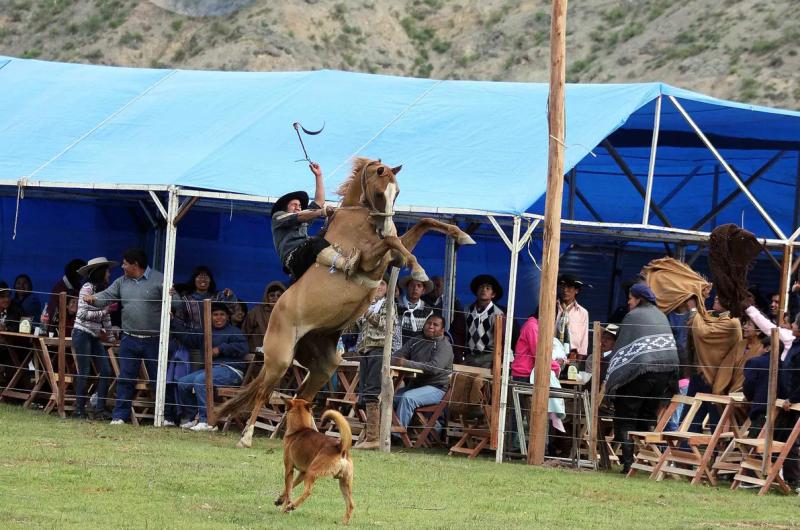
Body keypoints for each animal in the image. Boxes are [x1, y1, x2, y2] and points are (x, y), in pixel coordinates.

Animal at [217, 158, 476, 446]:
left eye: (396, 193)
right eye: (379, 193)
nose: (387, 225)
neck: (357, 217)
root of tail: (275, 313)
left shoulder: (391, 258)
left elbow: (422, 224)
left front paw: (461, 235)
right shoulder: (370, 259)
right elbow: (392, 241)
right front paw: (419, 270)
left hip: (323, 365)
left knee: (301, 397)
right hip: (280, 359)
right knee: (264, 392)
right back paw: (246, 437)